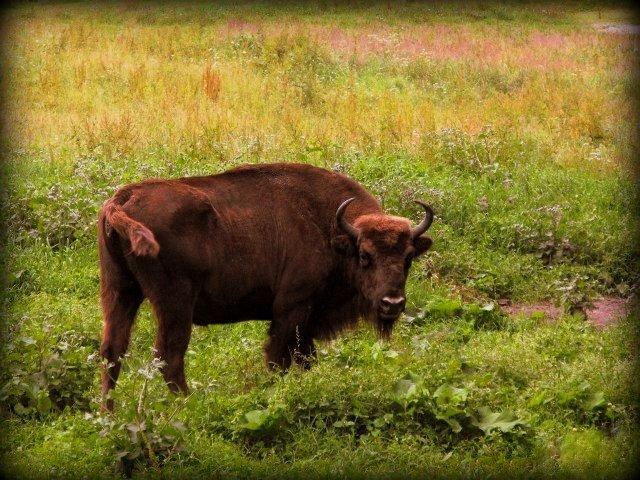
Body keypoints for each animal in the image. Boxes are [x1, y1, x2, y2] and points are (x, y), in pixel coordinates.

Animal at [97, 162, 432, 408]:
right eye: (365, 255)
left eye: (408, 257)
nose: (392, 303)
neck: (330, 229)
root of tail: (122, 199)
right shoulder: (291, 309)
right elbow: (277, 358)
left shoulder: (305, 321)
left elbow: (305, 358)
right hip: (174, 303)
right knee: (169, 355)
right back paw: (191, 405)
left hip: (120, 291)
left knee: (113, 350)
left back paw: (108, 414)